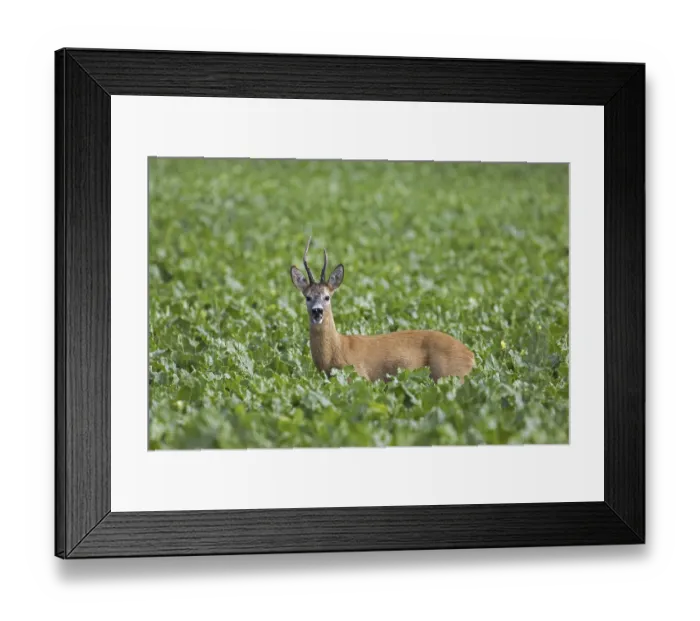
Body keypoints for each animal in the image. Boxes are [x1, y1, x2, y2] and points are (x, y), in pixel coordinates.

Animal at [290, 237, 475, 383]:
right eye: (308, 297)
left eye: (327, 297)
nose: (317, 311)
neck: (337, 351)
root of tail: (471, 356)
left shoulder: (358, 376)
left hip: (450, 375)